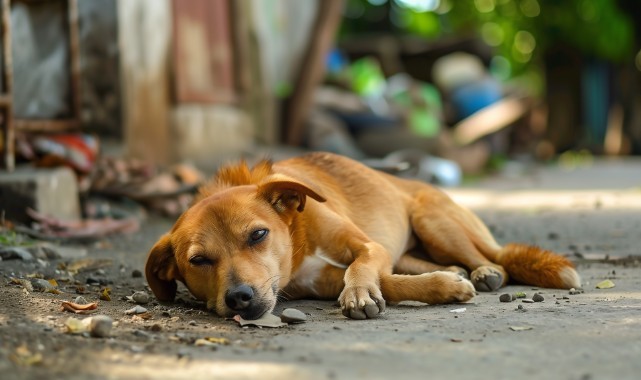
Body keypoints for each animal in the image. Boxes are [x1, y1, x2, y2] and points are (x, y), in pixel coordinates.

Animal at [145, 153, 580, 320]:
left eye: (258, 235)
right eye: (198, 261)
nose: (239, 298)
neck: (298, 237)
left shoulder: (368, 247)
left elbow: (362, 268)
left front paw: (358, 294)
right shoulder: (319, 281)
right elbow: (389, 281)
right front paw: (444, 286)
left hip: (434, 221)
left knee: (493, 258)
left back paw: (485, 271)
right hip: (413, 245)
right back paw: (457, 272)